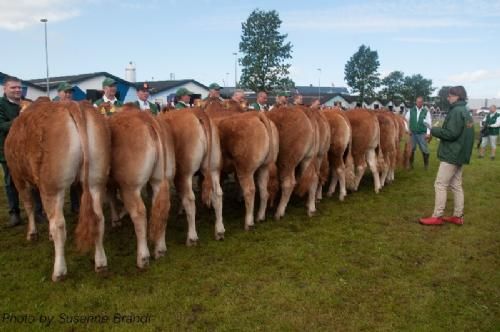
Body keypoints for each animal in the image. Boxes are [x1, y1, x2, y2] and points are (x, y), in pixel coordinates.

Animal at [4, 100, 109, 282]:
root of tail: (73, 105)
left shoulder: (18, 176)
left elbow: (29, 205)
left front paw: (32, 233)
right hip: (95, 180)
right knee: (98, 218)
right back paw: (101, 263)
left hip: (53, 186)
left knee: (59, 225)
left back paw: (59, 271)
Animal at [107, 105, 174, 268]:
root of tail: (149, 121)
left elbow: (111, 197)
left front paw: (116, 219)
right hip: (159, 180)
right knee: (161, 208)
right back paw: (160, 249)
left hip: (131, 186)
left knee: (139, 213)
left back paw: (143, 257)